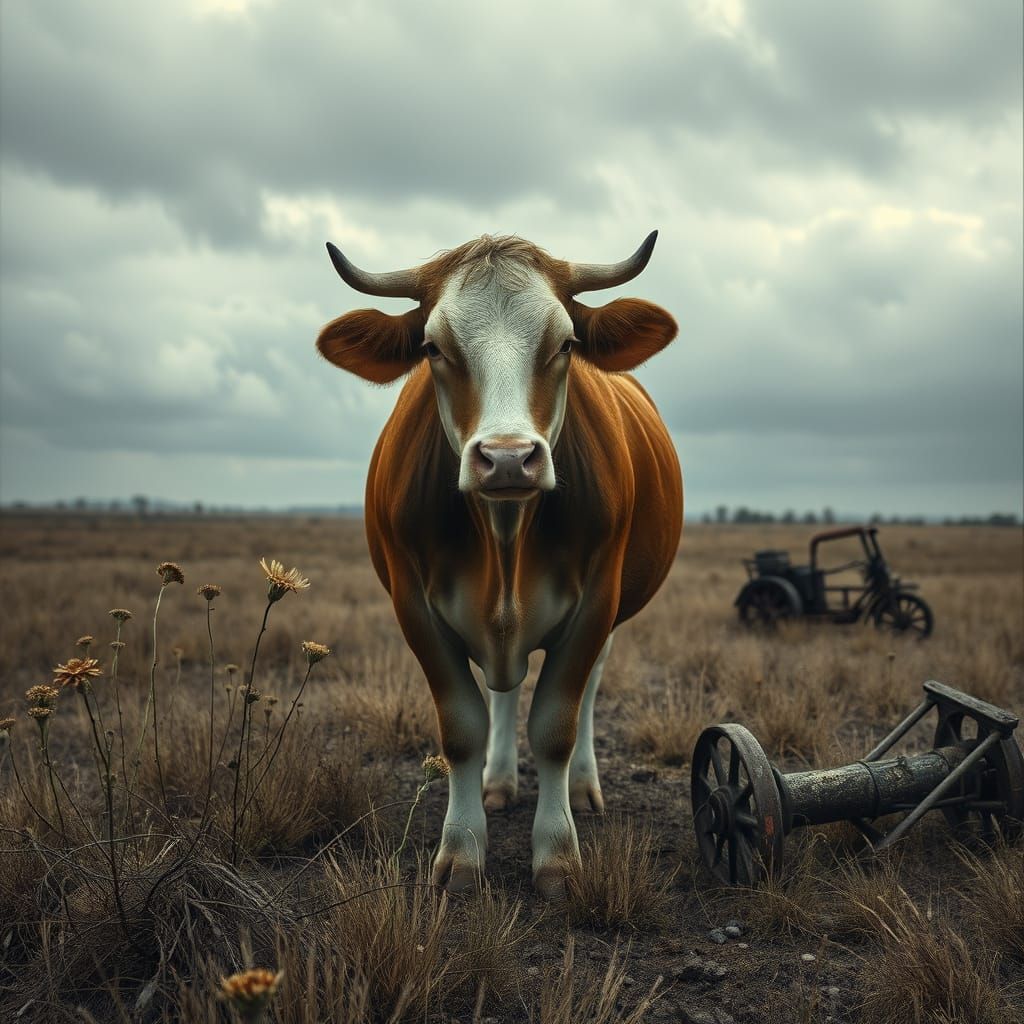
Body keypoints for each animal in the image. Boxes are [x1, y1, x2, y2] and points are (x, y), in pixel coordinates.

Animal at [316, 233, 682, 897]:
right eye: (433, 347)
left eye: (566, 343)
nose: (508, 458)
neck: (505, 537)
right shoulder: (413, 605)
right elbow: (463, 728)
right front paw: (462, 850)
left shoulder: (598, 601)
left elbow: (557, 725)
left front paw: (557, 854)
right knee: (503, 690)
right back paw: (499, 782)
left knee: (587, 687)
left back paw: (583, 788)